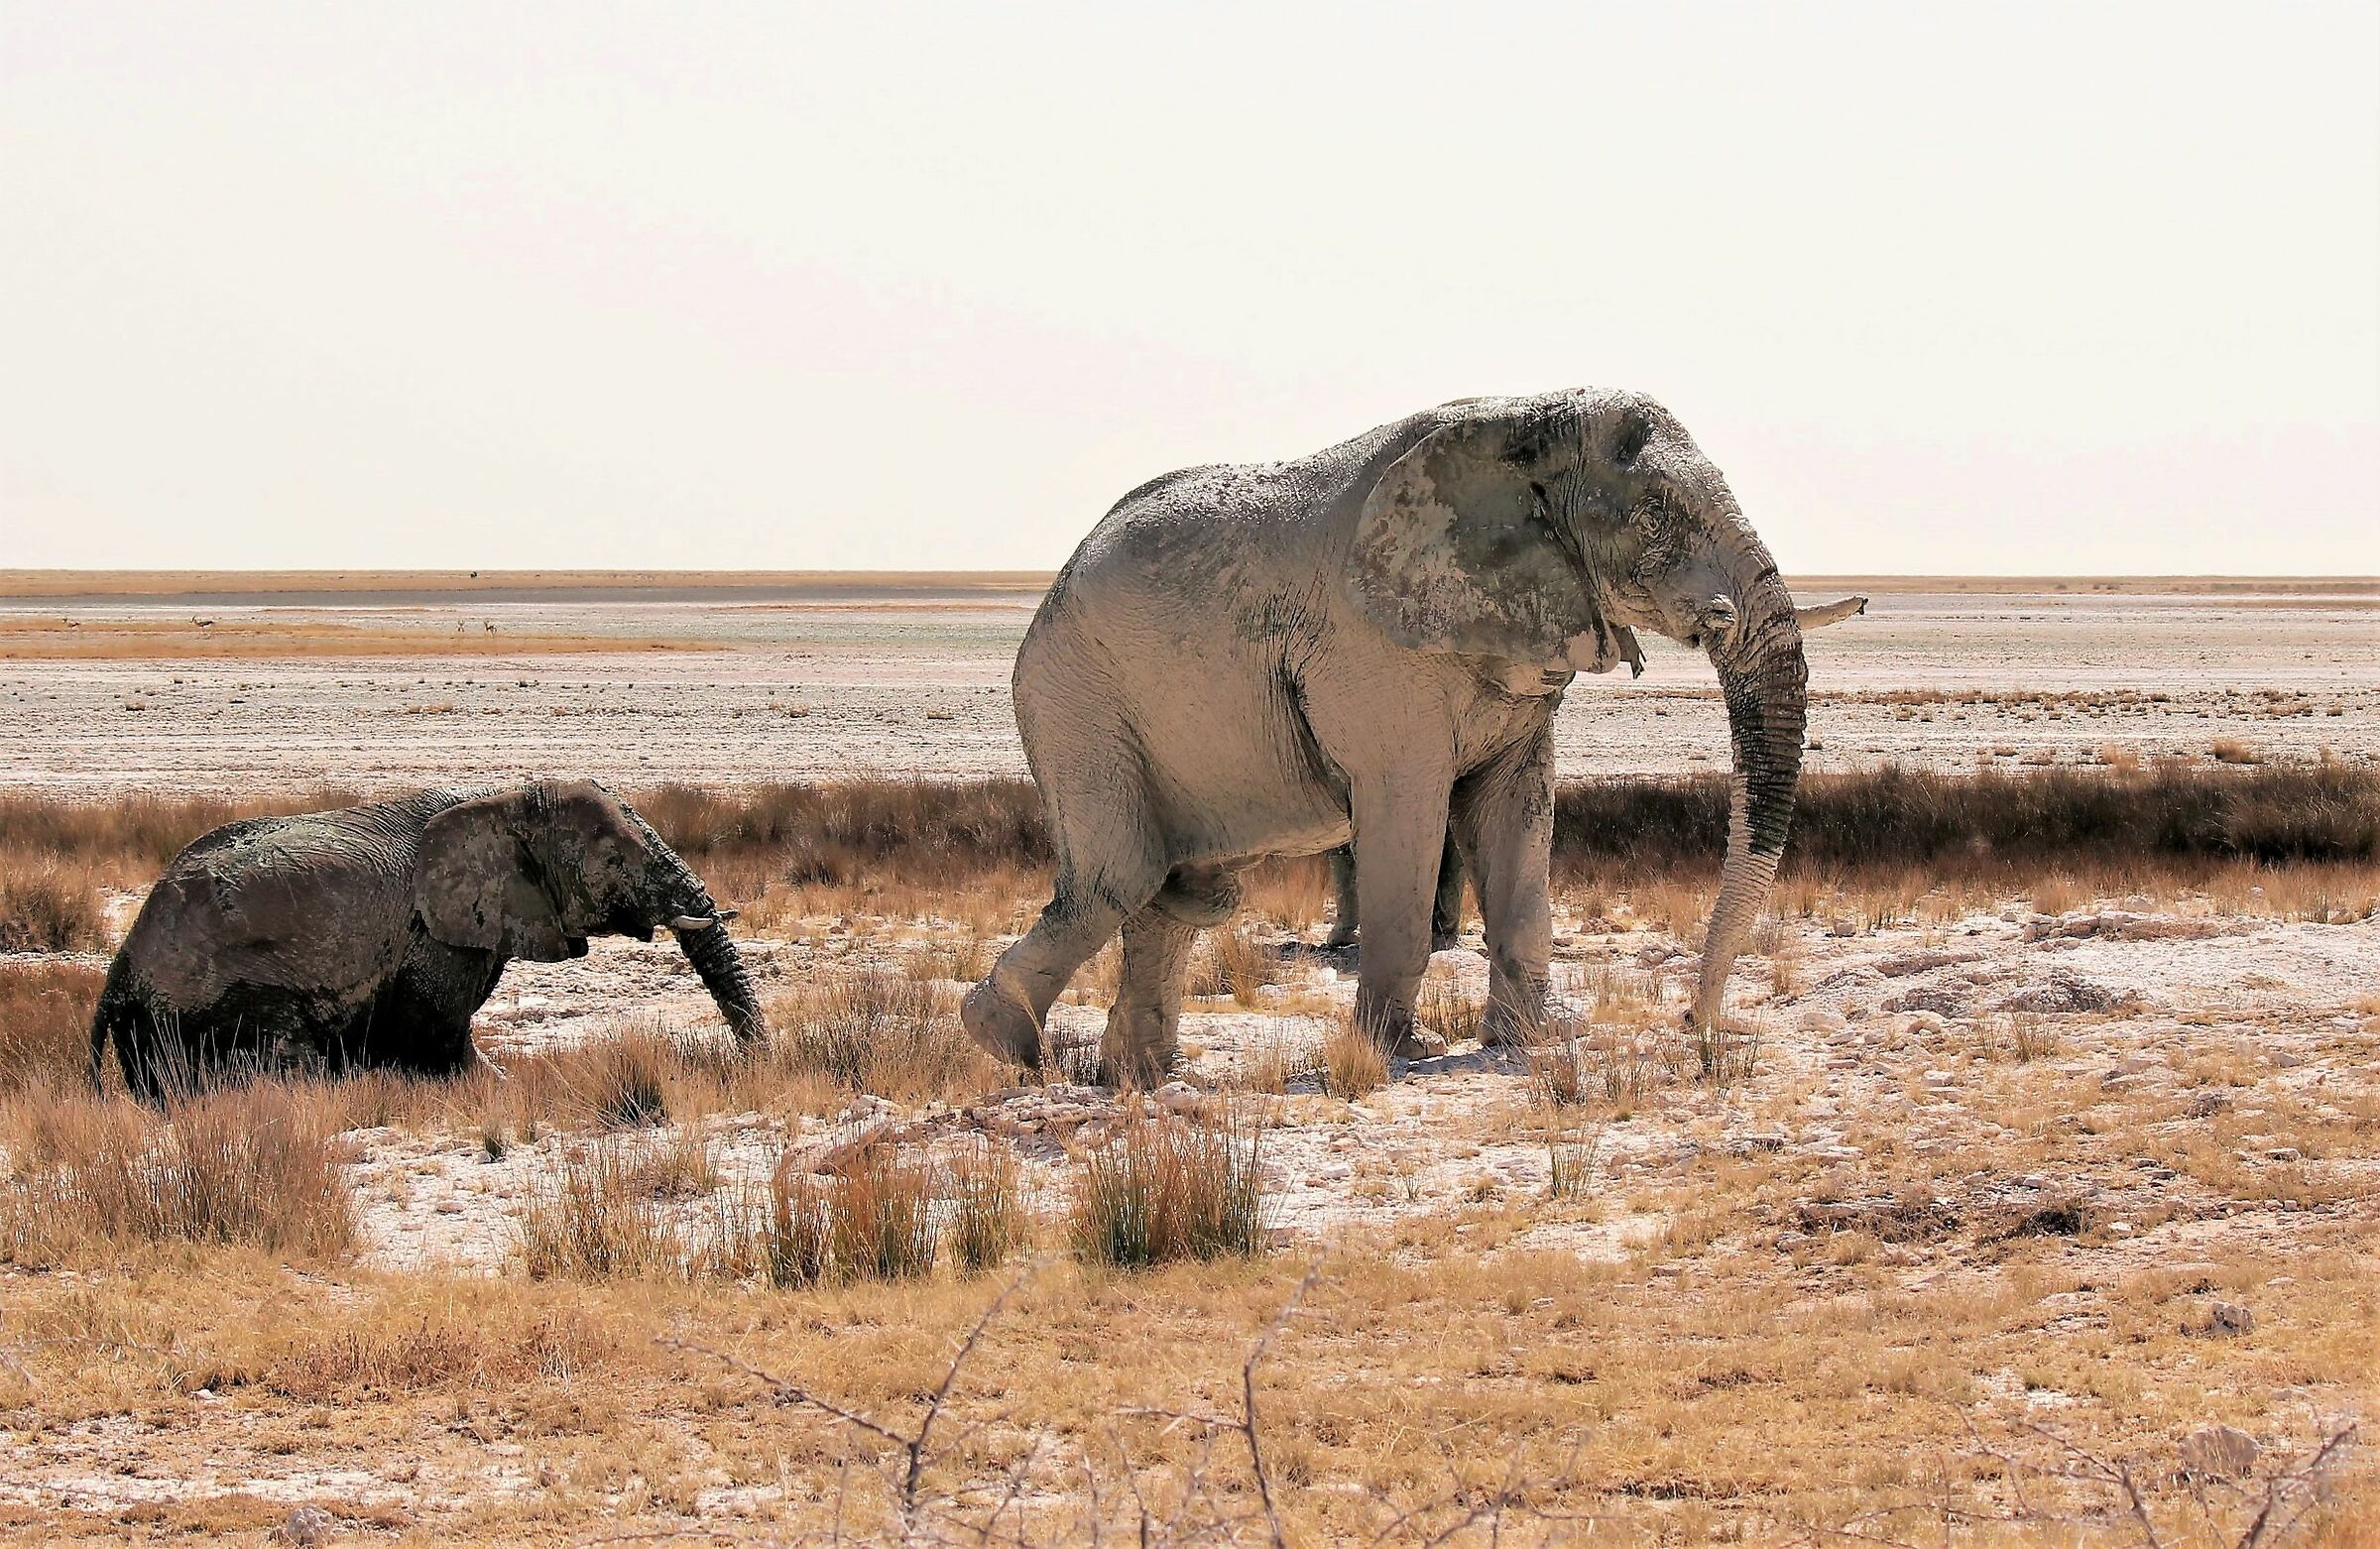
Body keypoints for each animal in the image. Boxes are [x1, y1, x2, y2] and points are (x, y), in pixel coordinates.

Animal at [90, 779, 765, 1099]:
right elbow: (437, 1031)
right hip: (218, 997)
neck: (503, 800)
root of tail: (121, 968)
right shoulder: (433, 938)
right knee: (289, 1059)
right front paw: (497, 1088)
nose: (756, 1063)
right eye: (614, 862)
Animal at [961, 388, 1866, 1086]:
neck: (1529, 420)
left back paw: (1140, 1078)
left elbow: (1516, 818)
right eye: (1655, 518)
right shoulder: (1375, 656)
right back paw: (1001, 1037)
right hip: (1074, 698)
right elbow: (1409, 817)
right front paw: (1407, 1052)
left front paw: (1532, 1038)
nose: (1695, 1025)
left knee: (1184, 895)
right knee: (1116, 880)